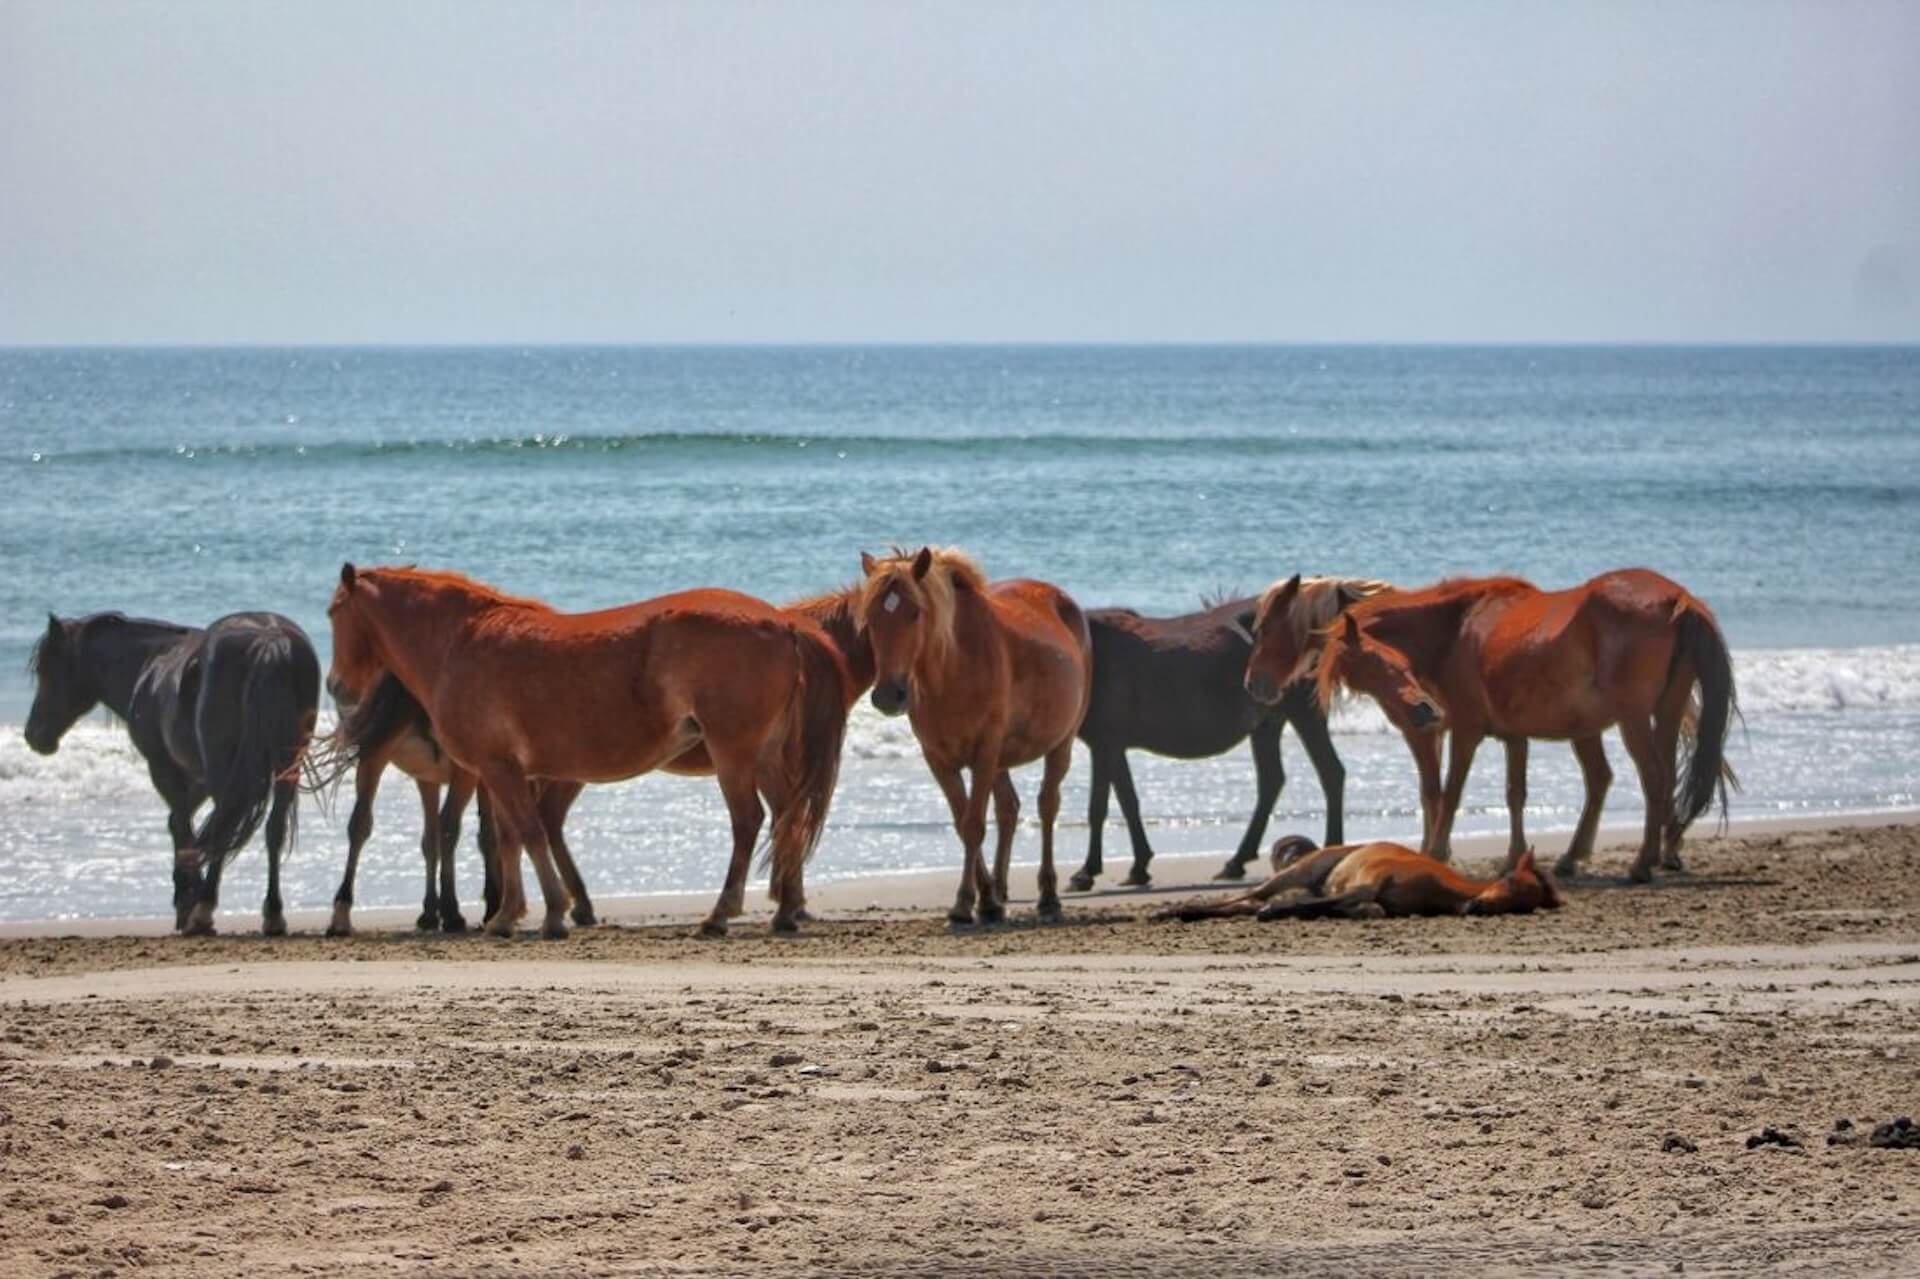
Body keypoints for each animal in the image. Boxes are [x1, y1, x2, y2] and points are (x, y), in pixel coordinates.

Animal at [25, 610, 319, 934]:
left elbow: (182, 826)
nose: (33, 735)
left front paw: (187, 903)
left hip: (225, 772)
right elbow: (182, 825)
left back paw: (204, 910)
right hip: (286, 768)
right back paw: (273, 914)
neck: (150, 664)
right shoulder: (196, 779)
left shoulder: (163, 768)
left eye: (46, 669)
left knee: (224, 828)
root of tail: (270, 641)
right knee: (273, 829)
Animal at [318, 674, 592, 936]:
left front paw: (434, 910)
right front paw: (494, 905)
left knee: (362, 824)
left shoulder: (433, 776)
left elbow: (436, 840)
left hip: (382, 755)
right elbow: (484, 834)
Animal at [857, 547, 1093, 925]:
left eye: (915, 613)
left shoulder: (984, 754)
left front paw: (964, 903)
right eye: (870, 618)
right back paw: (1000, 888)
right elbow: (962, 821)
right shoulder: (939, 760)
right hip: (1001, 762)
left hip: (1061, 743)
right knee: (1009, 809)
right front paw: (987, 901)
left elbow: (973, 826)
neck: (954, 668)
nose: (888, 696)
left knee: (1047, 806)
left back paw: (1048, 896)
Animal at [1068, 577, 1390, 892]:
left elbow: (1099, 807)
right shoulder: (1112, 746)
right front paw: (1138, 867)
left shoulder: (1104, 745)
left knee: (1330, 772)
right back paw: (1237, 861)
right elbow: (1128, 803)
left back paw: (1330, 848)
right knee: (1272, 782)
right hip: (1267, 724)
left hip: (1304, 714)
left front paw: (1086, 872)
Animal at [1304, 570, 1737, 882]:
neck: (1458, 627)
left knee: (1653, 779)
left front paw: (1436, 854)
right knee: (1634, 778)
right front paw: (1513, 858)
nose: (1423, 713)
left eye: (1376, 659)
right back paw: (1592, 857)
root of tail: (1678, 599)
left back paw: (1641, 863)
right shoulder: (1514, 736)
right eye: (1360, 678)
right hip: (1659, 713)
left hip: (1631, 720)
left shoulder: (1465, 731)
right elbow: (1514, 794)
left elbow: (1450, 793)